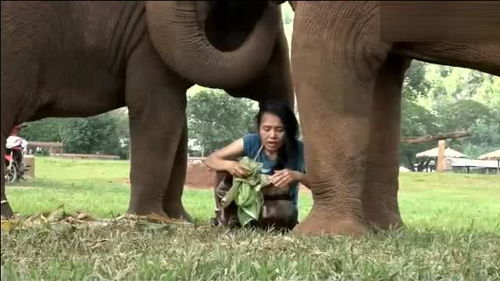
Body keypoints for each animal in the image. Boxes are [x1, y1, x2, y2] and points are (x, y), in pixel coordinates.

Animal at [0, 1, 292, 219]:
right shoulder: (145, 35)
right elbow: (157, 109)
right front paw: (150, 218)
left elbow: (176, 123)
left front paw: (178, 220)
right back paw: (7, 217)